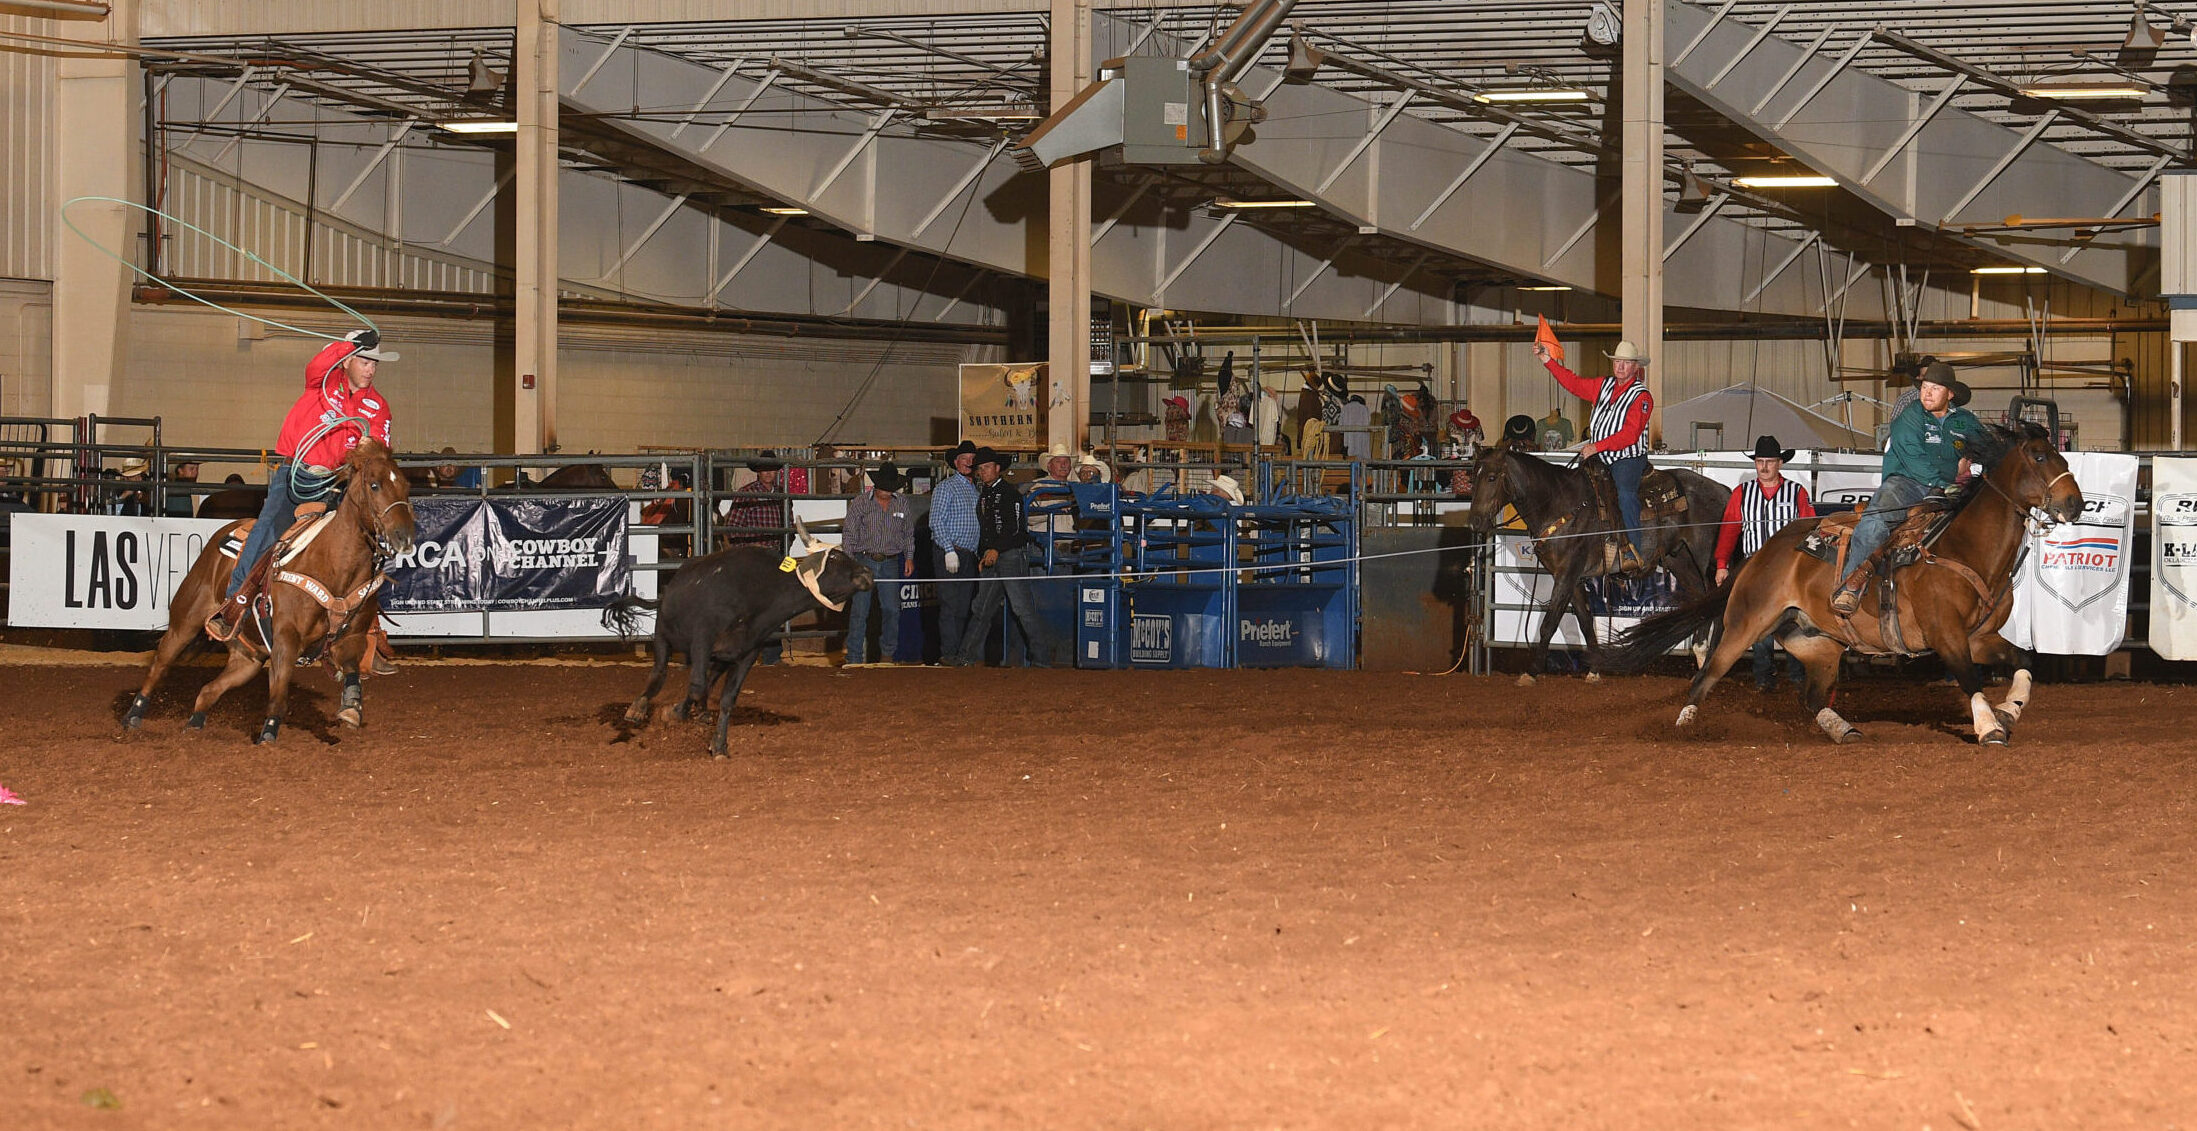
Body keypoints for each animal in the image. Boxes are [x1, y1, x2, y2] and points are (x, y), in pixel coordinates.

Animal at [125, 441, 419, 742]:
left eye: (406, 486)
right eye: (374, 485)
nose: (404, 536)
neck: (334, 562)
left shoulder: (352, 636)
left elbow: (351, 670)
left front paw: (351, 707)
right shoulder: (286, 636)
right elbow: (279, 690)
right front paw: (268, 733)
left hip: (248, 658)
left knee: (208, 690)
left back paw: (194, 725)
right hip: (185, 620)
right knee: (160, 664)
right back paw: (134, 715)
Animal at [1458, 445, 1731, 680]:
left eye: (1492, 477)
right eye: (1473, 478)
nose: (1474, 522)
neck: (1560, 505)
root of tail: (1723, 490)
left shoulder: (1566, 574)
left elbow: (1549, 623)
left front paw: (1532, 672)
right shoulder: (1573, 578)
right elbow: (1586, 622)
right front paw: (1596, 669)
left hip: (1706, 558)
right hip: (1679, 559)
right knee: (1700, 597)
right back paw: (1700, 654)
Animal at [1599, 419, 2073, 746]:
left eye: (2060, 455)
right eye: (2038, 456)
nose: (2075, 503)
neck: (1961, 547)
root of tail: (1761, 553)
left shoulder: (1979, 637)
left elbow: (2024, 661)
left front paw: (2009, 710)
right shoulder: (1947, 636)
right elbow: (1971, 681)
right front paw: (1990, 726)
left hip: (1818, 643)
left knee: (1812, 697)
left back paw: (1843, 729)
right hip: (1746, 623)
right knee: (1707, 674)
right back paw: (1683, 726)